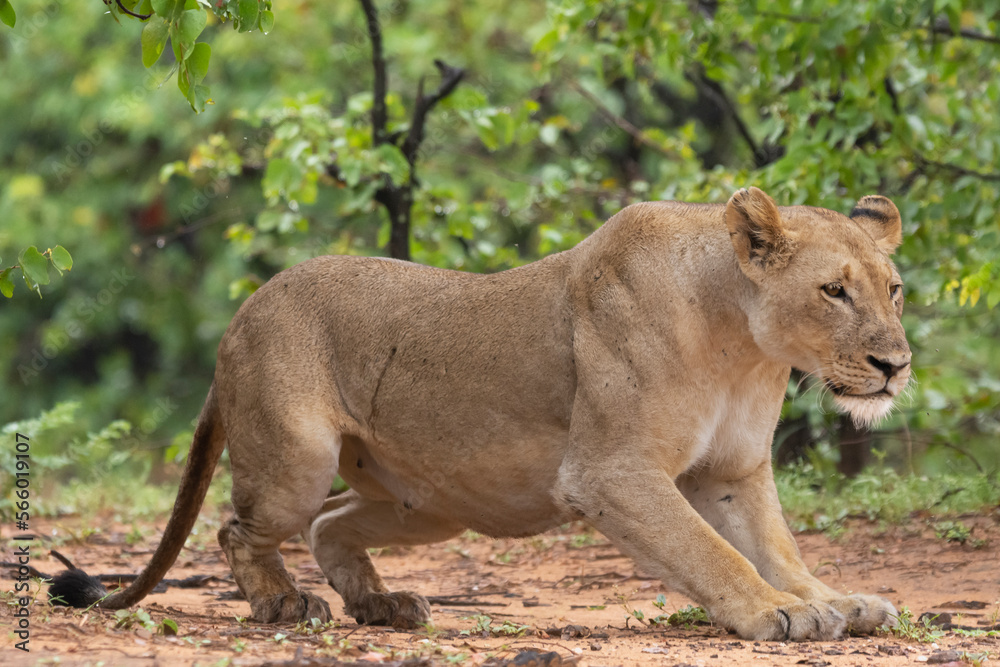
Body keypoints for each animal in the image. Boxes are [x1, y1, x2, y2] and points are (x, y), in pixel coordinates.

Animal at [51, 187, 911, 641]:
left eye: (893, 289)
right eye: (834, 291)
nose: (895, 365)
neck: (745, 347)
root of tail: (241, 313)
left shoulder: (730, 470)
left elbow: (775, 547)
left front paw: (835, 601)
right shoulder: (610, 471)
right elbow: (714, 553)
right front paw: (777, 612)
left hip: (434, 505)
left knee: (330, 524)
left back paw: (384, 603)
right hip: (294, 457)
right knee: (241, 528)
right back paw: (284, 603)